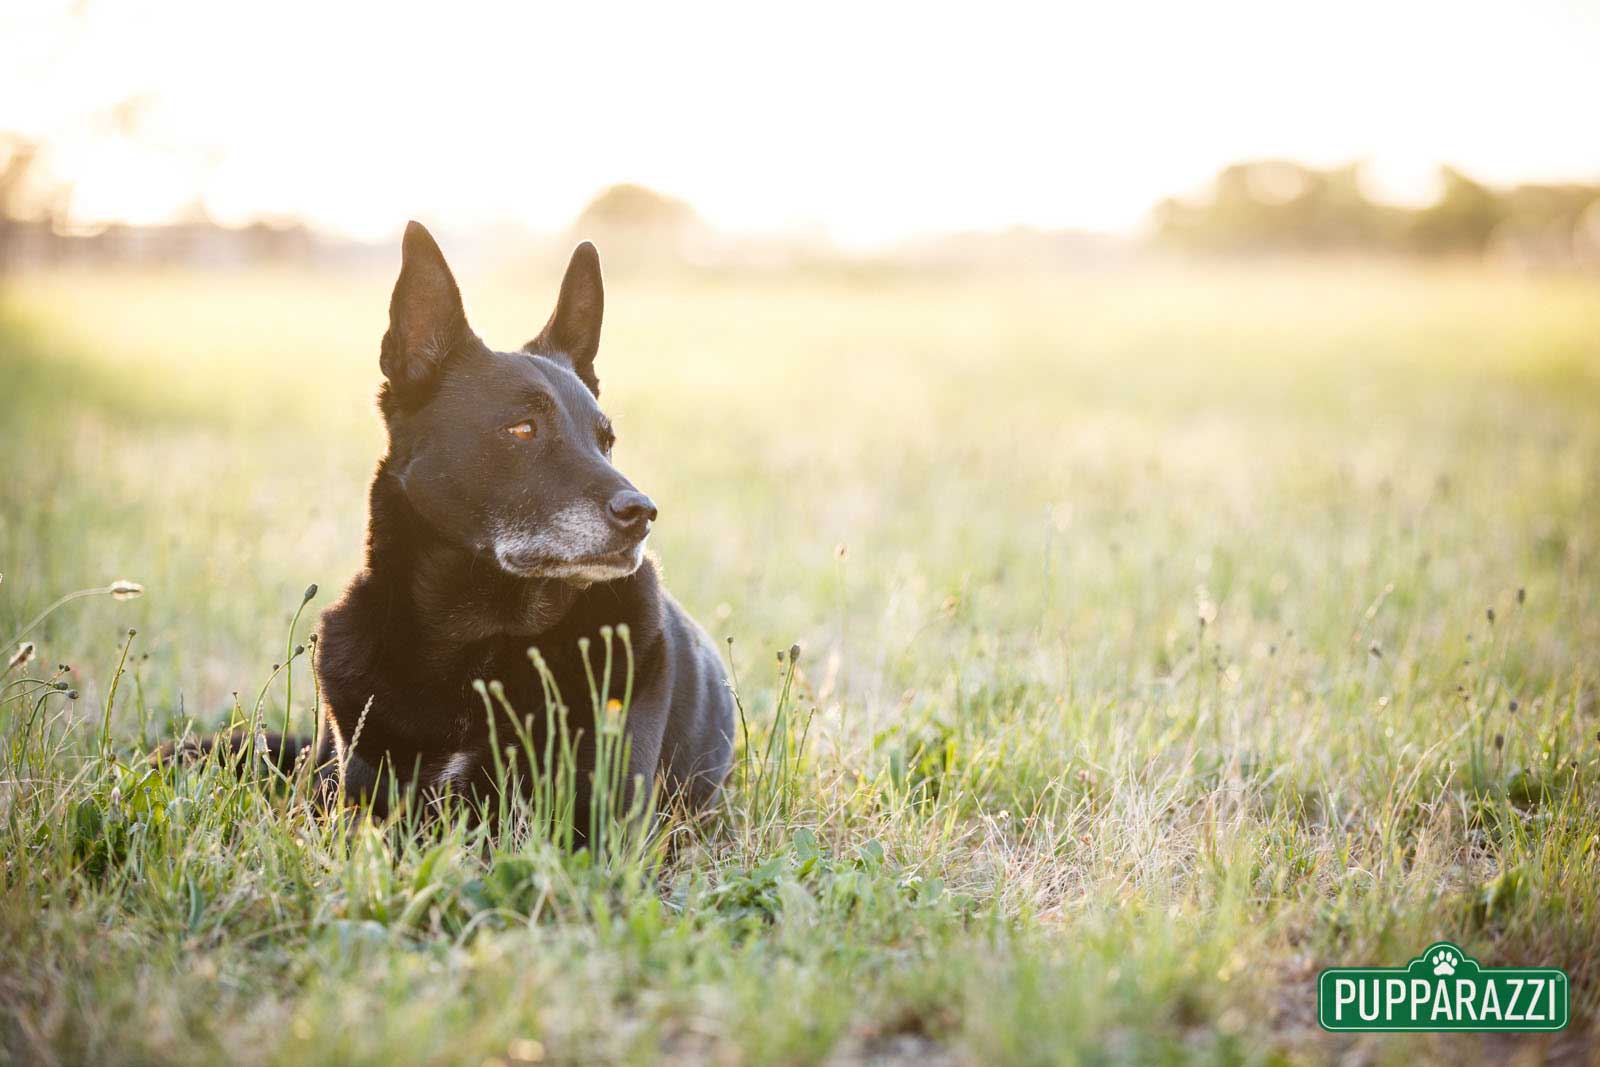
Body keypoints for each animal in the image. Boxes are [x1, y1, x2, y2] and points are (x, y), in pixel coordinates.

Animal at [216, 223, 732, 825]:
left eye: (605, 441)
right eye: (523, 429)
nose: (642, 513)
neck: (476, 634)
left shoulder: (594, 821)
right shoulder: (350, 805)